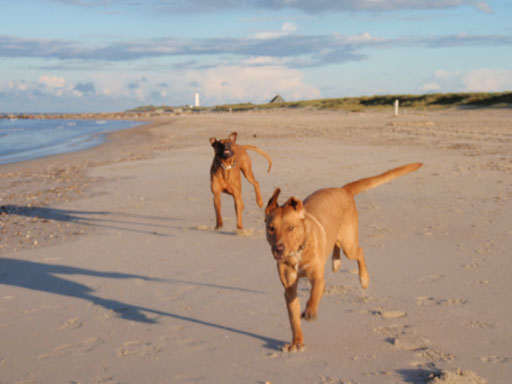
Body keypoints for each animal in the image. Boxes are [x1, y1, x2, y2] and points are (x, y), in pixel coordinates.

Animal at [266, 162, 422, 352]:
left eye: (291, 228)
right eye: (271, 228)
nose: (279, 249)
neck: (297, 253)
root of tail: (343, 190)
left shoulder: (318, 278)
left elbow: (314, 294)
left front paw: (310, 311)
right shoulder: (289, 289)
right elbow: (294, 318)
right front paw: (297, 342)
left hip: (350, 244)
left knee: (359, 251)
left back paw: (364, 278)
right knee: (335, 244)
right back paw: (336, 262)